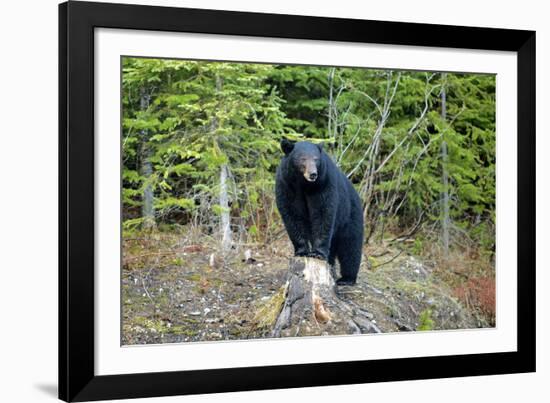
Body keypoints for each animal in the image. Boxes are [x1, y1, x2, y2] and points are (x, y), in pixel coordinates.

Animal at [276, 140, 366, 286]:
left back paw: (347, 278)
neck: (304, 184)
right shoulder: (287, 185)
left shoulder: (323, 184)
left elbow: (323, 213)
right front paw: (302, 251)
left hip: (350, 215)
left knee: (350, 246)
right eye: (302, 159)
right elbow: (293, 215)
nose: (313, 174)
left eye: (316, 159)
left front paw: (317, 253)